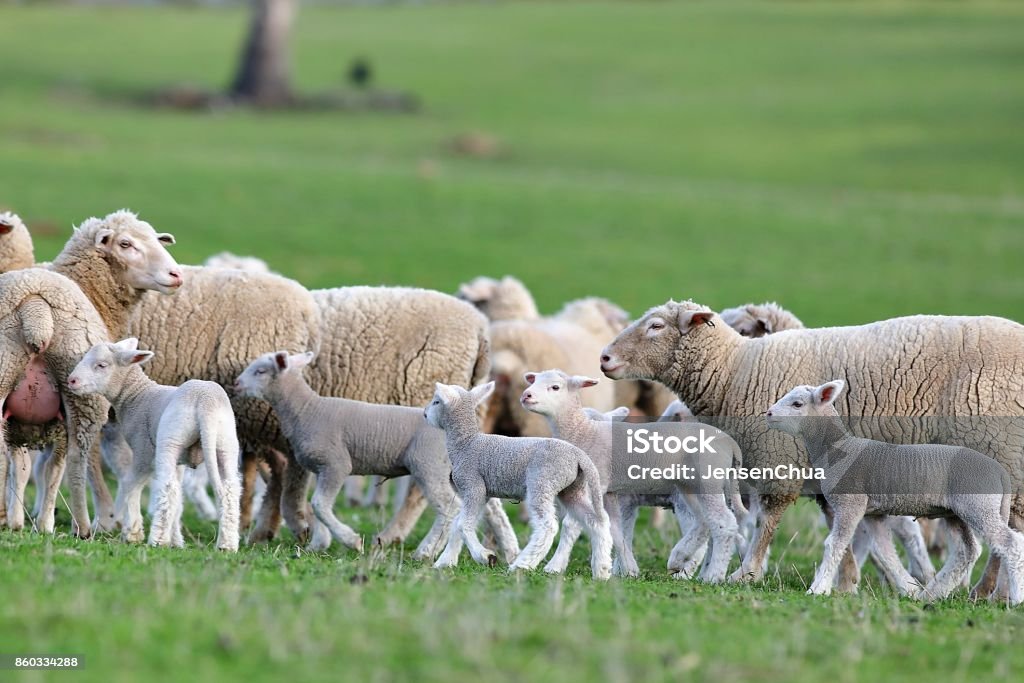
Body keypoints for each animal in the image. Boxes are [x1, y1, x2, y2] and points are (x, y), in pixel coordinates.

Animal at [69, 339, 242, 552]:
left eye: (101, 365)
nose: (71, 380)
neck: (137, 395)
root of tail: (205, 402)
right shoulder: (180, 461)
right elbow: (179, 501)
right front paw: (176, 540)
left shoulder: (142, 449)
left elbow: (131, 484)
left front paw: (132, 533)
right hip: (225, 444)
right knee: (229, 489)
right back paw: (227, 544)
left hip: (170, 440)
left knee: (167, 487)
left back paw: (157, 540)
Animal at [425, 382, 610, 581]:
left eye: (436, 401)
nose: (425, 414)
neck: (466, 444)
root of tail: (579, 455)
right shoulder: (482, 494)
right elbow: (457, 525)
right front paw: (444, 562)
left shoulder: (473, 486)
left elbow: (462, 524)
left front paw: (485, 557)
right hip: (572, 489)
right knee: (596, 522)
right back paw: (602, 570)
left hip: (542, 482)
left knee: (547, 526)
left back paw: (521, 565)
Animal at [770, 378, 1024, 602]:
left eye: (797, 404)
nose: (769, 414)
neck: (837, 449)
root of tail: (1000, 471)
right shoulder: (873, 513)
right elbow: (885, 551)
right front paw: (909, 589)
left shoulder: (850, 504)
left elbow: (835, 544)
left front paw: (818, 589)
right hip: (956, 512)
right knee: (967, 551)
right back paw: (931, 594)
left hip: (978, 505)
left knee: (1010, 543)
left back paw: (1015, 598)